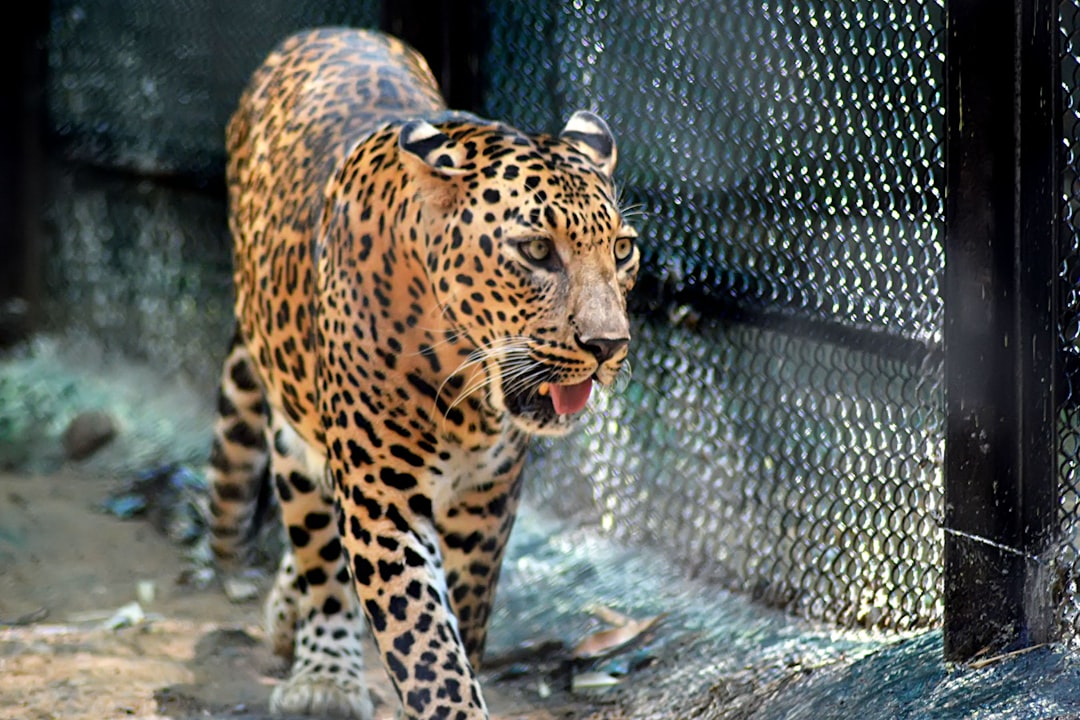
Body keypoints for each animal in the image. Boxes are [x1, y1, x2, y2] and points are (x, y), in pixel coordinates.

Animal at [206, 25, 635, 716]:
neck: (463, 384)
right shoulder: (383, 503)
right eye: (536, 250)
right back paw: (325, 673)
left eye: (622, 250)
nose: (608, 344)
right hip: (294, 437)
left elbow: (466, 614)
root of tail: (328, 30)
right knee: (319, 552)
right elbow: (424, 641)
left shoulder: (489, 496)